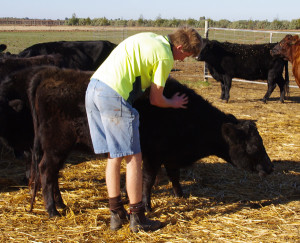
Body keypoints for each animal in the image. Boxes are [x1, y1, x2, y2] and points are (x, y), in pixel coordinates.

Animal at [28, 66, 274, 216]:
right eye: (254, 146)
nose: (270, 167)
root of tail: (50, 73)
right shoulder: (153, 154)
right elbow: (147, 180)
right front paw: (146, 206)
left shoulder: (170, 154)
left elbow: (174, 175)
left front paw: (180, 195)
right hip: (56, 146)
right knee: (46, 172)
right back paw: (52, 210)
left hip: (59, 148)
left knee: (53, 175)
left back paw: (61, 204)